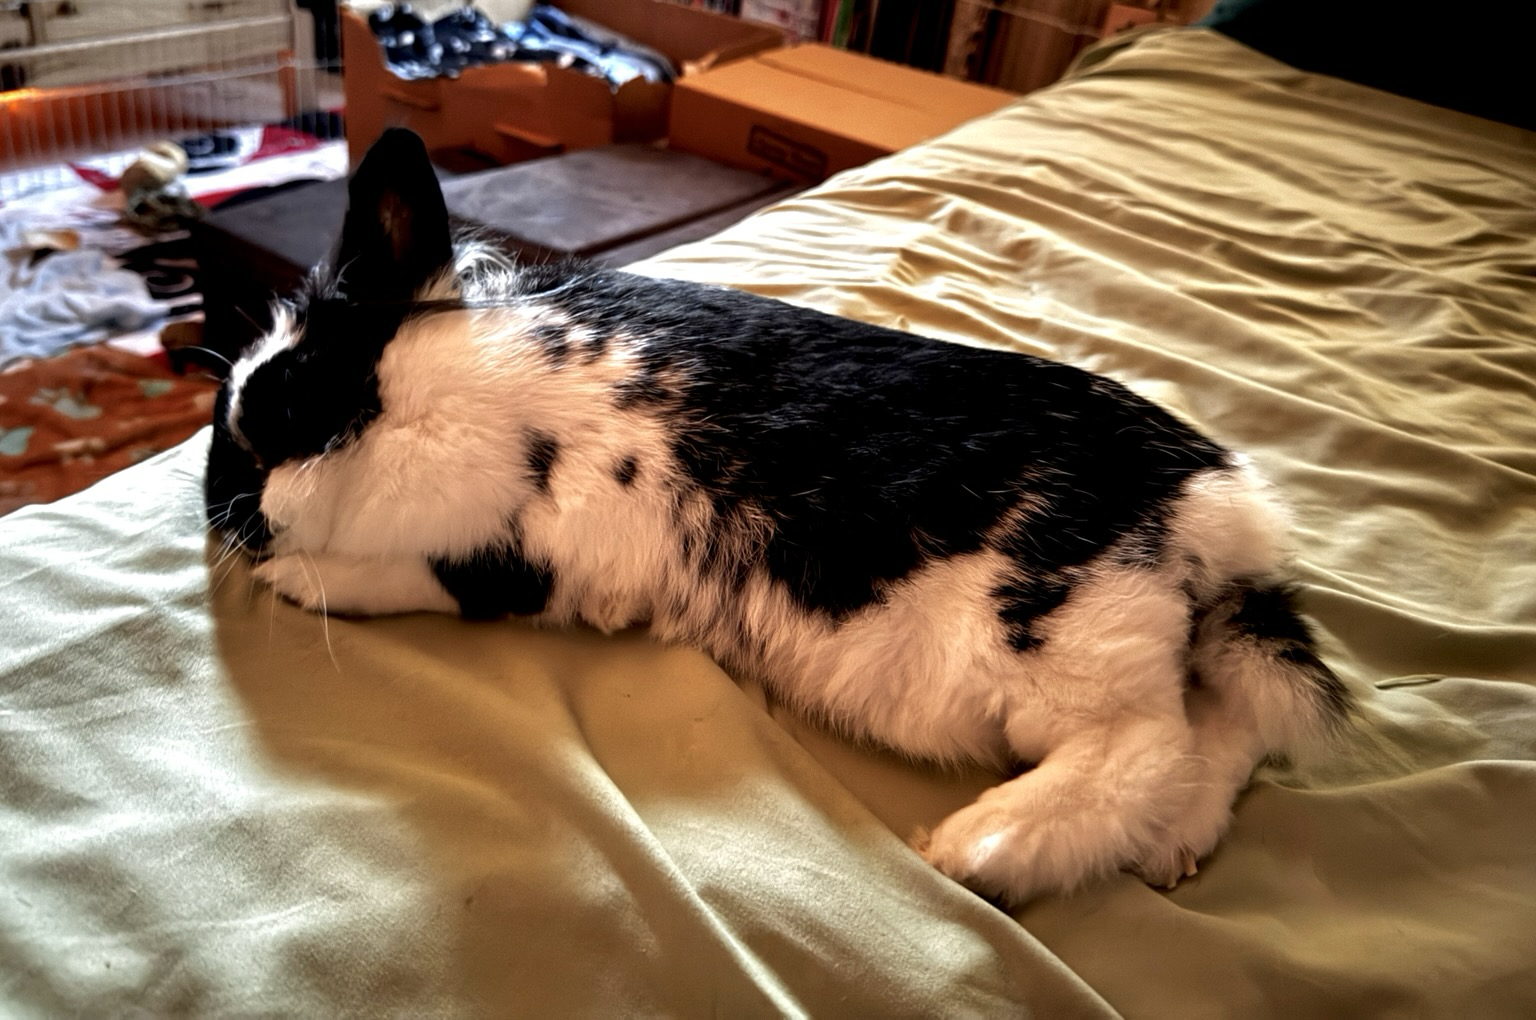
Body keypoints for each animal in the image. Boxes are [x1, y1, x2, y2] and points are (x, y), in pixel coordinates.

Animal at [206, 128, 1352, 904]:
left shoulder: (498, 565)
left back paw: (980, 850)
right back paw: (1173, 849)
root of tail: (1211, 508)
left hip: (1054, 631)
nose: (218, 507)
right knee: (1226, 728)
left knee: (1145, 743)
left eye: (279, 396)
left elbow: (391, 579)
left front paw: (294, 578)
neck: (404, 404)